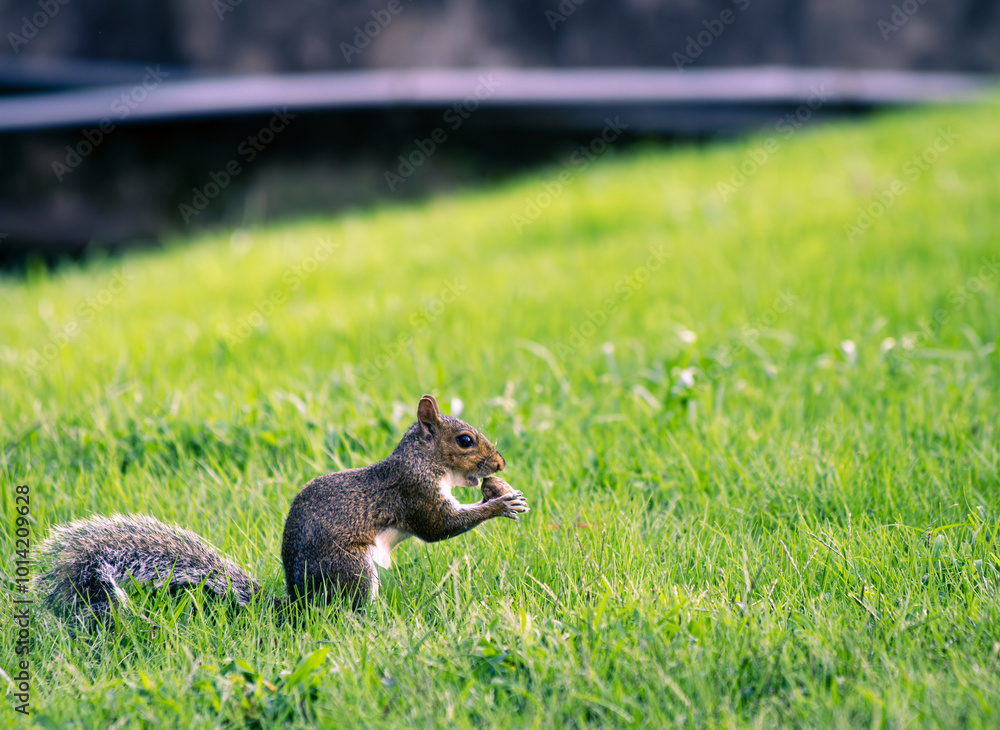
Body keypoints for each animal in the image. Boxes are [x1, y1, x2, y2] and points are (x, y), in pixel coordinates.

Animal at [34, 395, 529, 624]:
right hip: (351, 569)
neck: (423, 461)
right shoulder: (414, 493)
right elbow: (439, 527)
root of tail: (299, 606)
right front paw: (500, 502)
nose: (500, 465)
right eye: (465, 440)